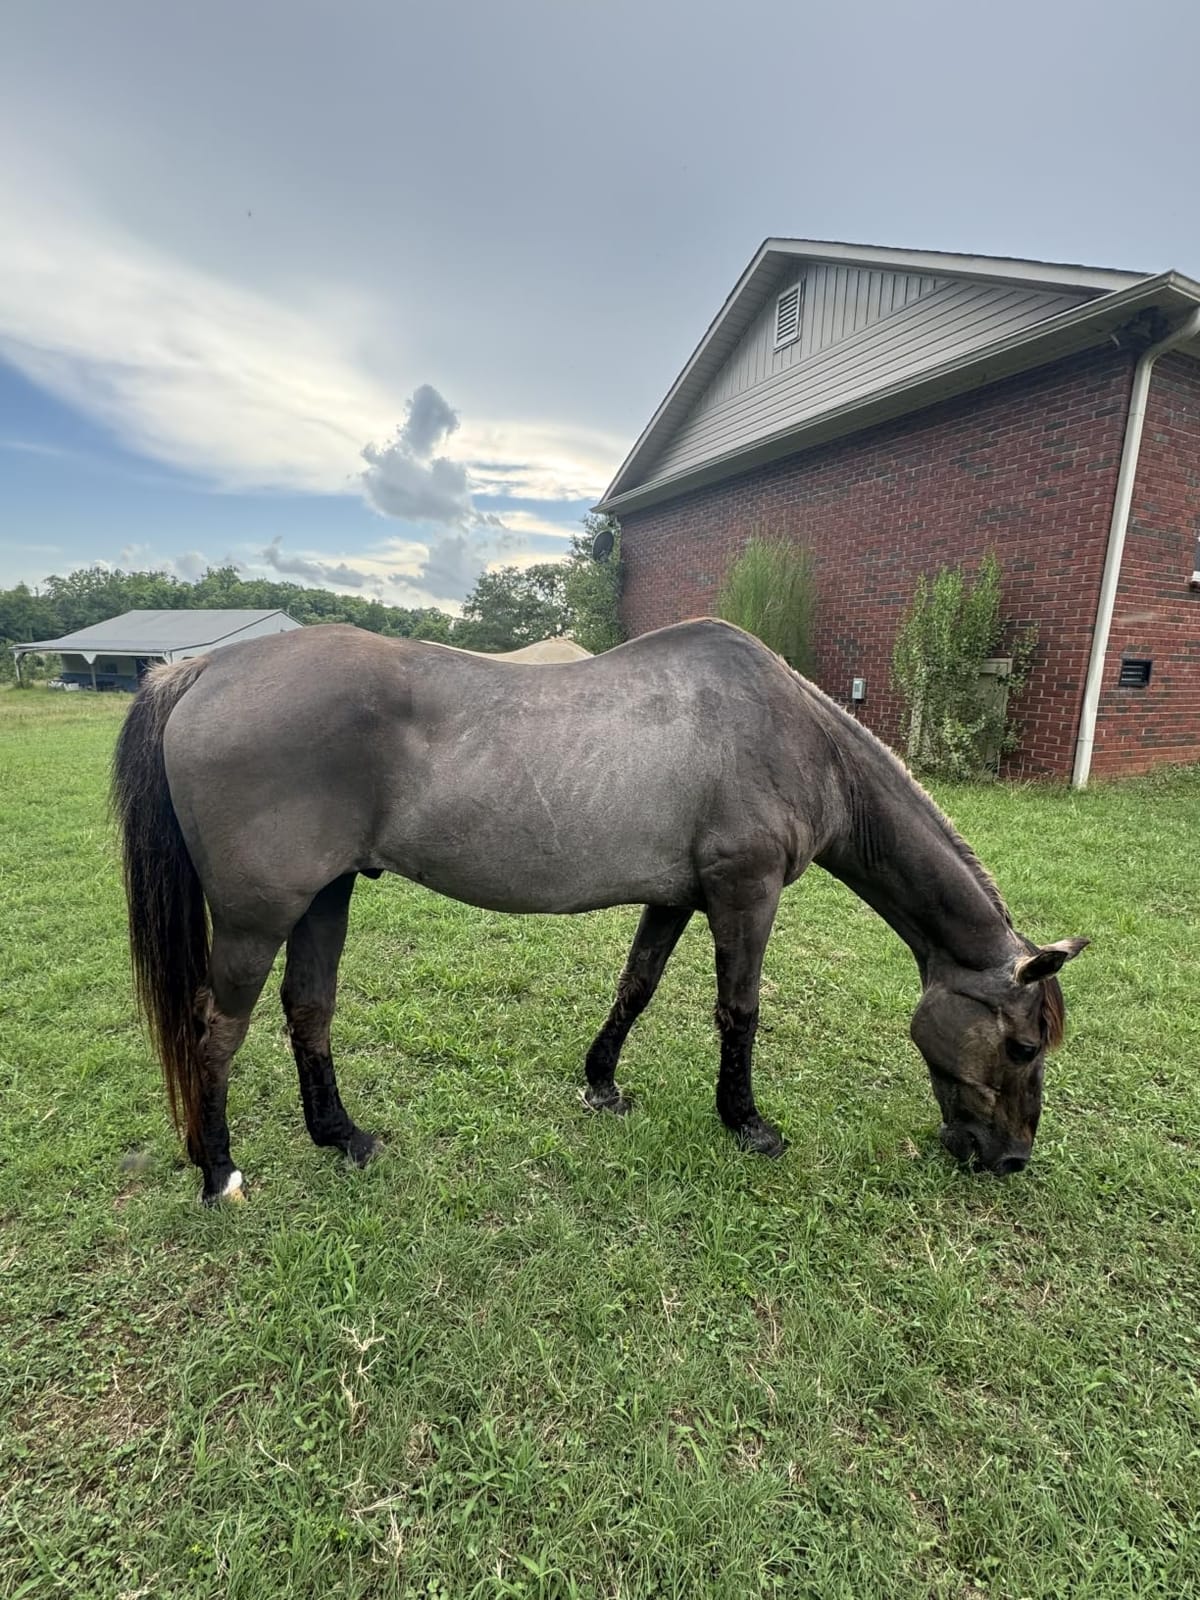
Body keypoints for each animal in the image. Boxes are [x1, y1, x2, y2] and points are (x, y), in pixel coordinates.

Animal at [111, 618, 1087, 1203]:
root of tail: (203, 668)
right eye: (1023, 1045)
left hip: (325, 897)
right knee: (214, 1032)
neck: (794, 736)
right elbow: (739, 1009)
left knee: (307, 1010)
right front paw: (747, 1123)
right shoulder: (746, 891)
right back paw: (219, 1171)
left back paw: (341, 1136)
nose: (1010, 1158)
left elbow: (637, 987)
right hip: (255, 917)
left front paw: (602, 1083)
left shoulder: (677, 897)